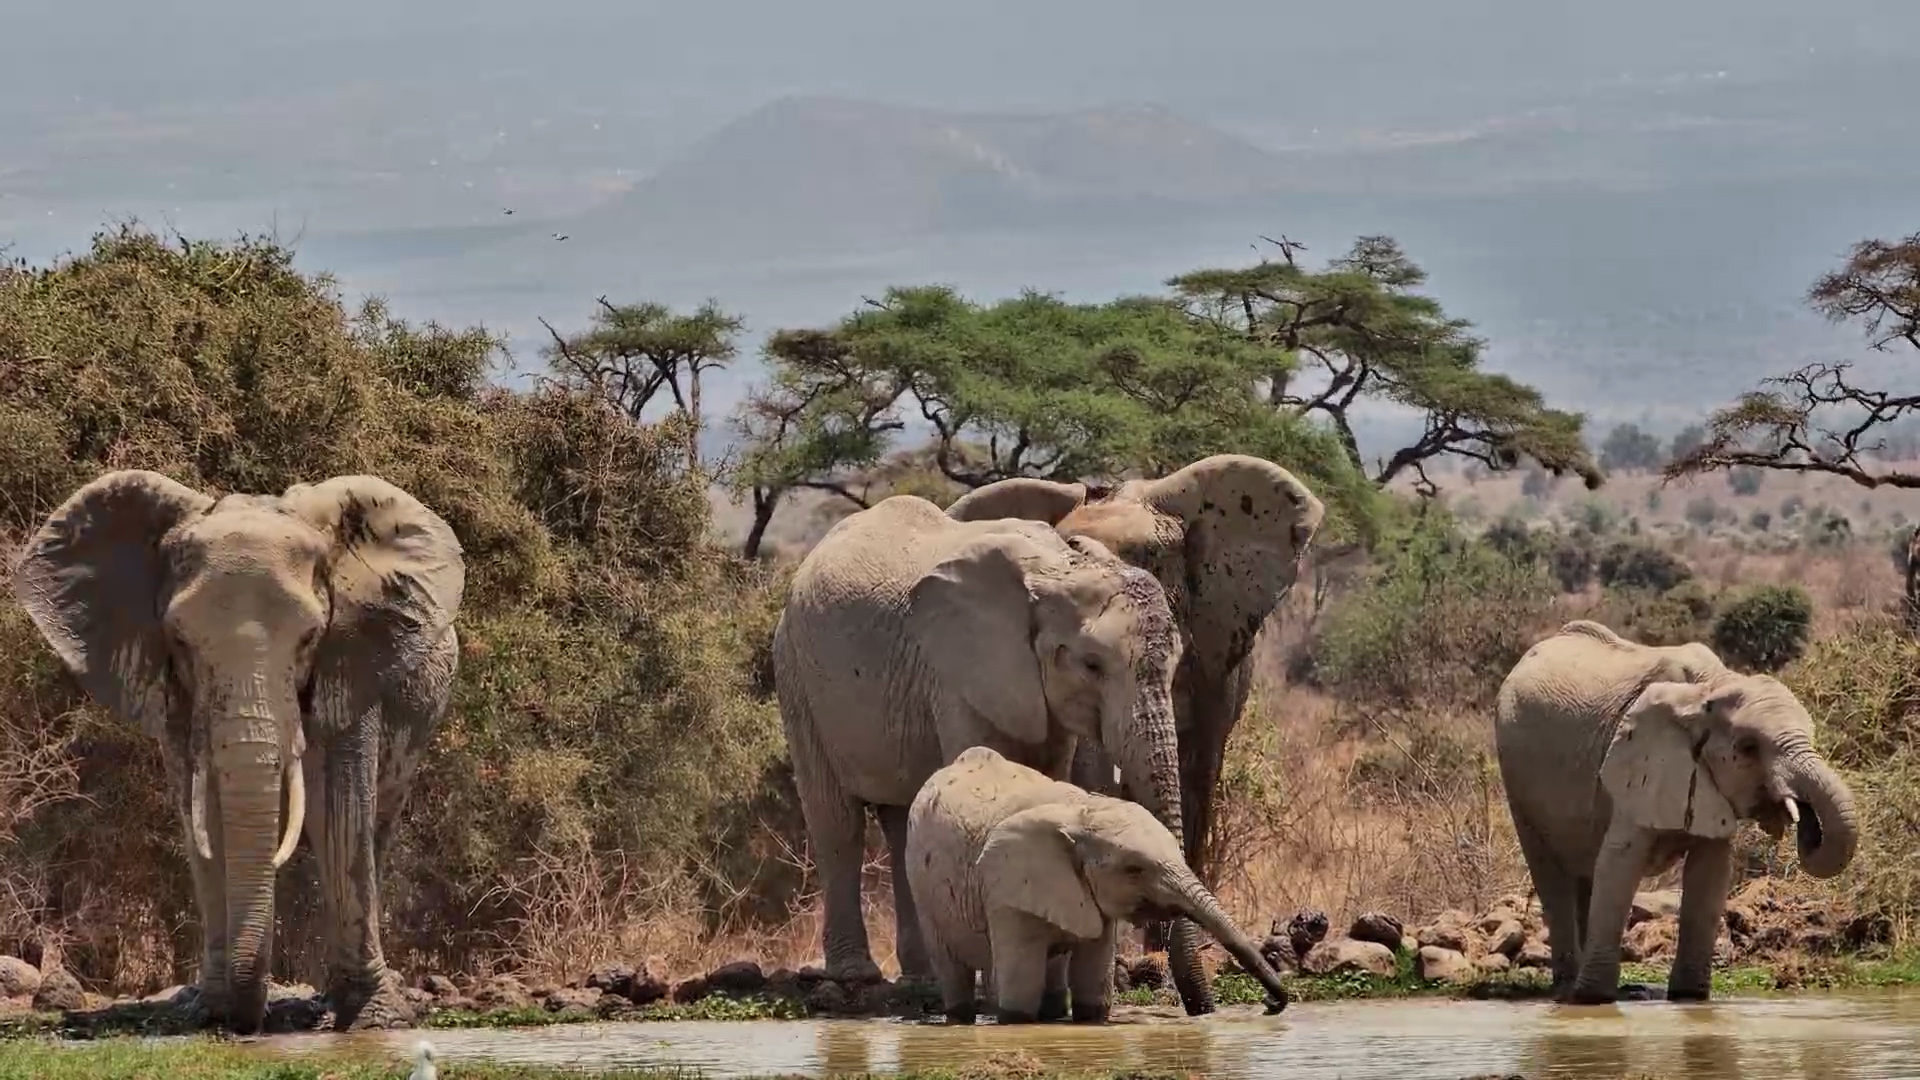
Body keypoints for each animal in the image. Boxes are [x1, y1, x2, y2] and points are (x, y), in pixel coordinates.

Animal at [11, 469, 464, 1034]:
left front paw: (373, 1022)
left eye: (310, 638)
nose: (250, 1022)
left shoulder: (352, 661)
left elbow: (338, 812)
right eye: (180, 641)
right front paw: (210, 1011)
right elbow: (203, 817)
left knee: (372, 827)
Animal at [771, 493, 1213, 1010]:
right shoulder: (959, 670)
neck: (1058, 570)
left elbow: (1045, 778)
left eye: (1178, 662)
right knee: (836, 821)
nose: (1199, 1008)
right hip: (796, 675)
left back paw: (922, 979)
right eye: (1091, 665)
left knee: (900, 821)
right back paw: (856, 978)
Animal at [904, 745, 1289, 1024]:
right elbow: (1020, 994)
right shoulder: (1004, 888)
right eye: (1134, 869)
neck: (1084, 811)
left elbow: (1093, 985)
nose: (1270, 1004)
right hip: (922, 889)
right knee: (953, 967)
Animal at [1493, 619, 1859, 1004]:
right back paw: (1568, 991)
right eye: (1748, 748)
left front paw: (1690, 998)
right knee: (1551, 873)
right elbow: (1619, 863)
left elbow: (1710, 873)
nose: (1802, 818)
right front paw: (1594, 998)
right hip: (1516, 775)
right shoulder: (1637, 761)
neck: (1711, 688)